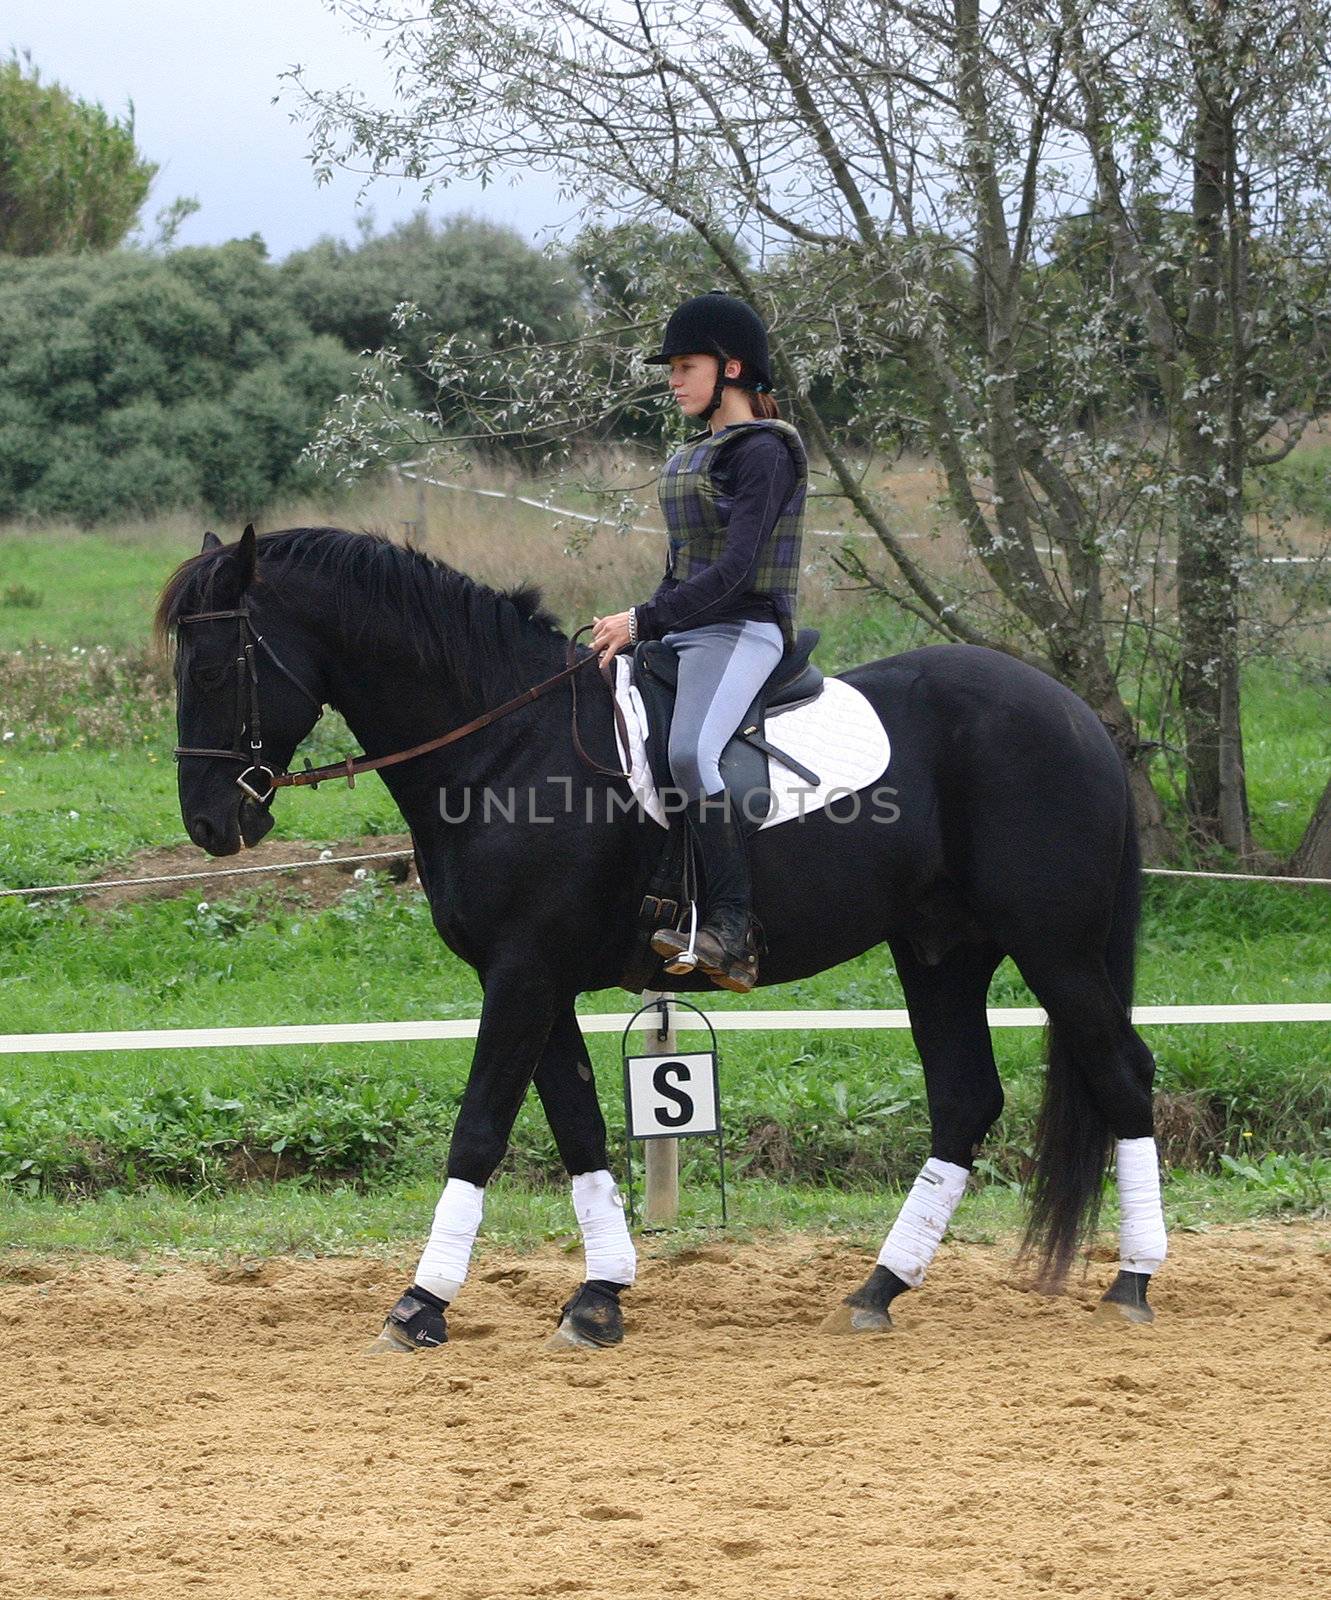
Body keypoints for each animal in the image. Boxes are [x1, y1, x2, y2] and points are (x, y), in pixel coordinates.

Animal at [153, 531, 1151, 1344]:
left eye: (210, 671)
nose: (208, 824)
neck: (507, 746)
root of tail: (1072, 714)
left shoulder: (522, 975)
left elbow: (479, 1130)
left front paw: (421, 1304)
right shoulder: (534, 979)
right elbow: (580, 1129)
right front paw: (599, 1296)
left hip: (1054, 946)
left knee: (1119, 1073)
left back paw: (1133, 1281)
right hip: (941, 950)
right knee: (965, 1100)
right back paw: (878, 1289)